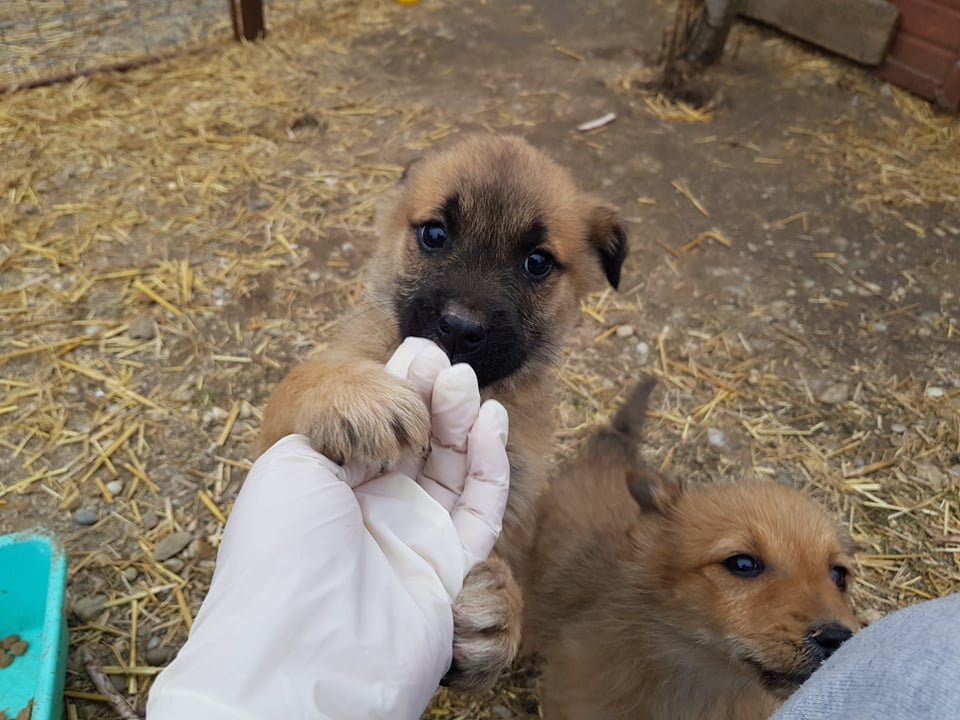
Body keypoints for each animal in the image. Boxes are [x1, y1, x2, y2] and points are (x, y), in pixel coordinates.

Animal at [258, 135, 628, 692]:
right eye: (435, 234)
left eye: (537, 263)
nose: (460, 327)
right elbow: (299, 382)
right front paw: (356, 394)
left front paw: (496, 616)